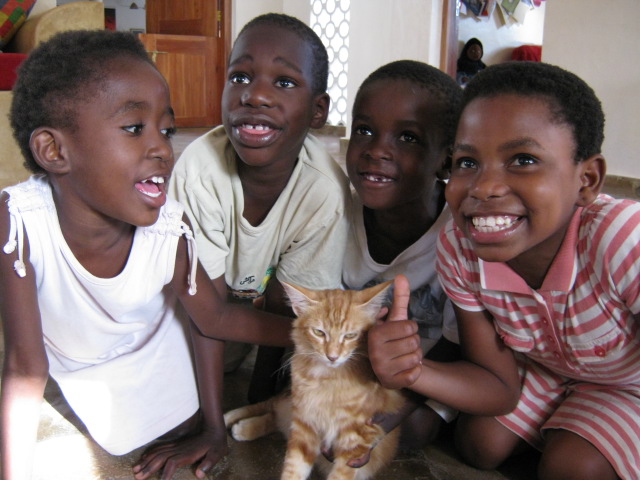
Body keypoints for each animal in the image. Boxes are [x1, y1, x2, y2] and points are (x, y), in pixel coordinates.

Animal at [223, 281, 405, 480]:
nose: (332, 357)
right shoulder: (304, 424)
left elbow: (339, 475)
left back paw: (243, 428)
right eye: (319, 332)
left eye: (350, 335)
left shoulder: (355, 442)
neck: (327, 378)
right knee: (270, 406)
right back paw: (230, 418)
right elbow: (293, 469)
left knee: (275, 417)